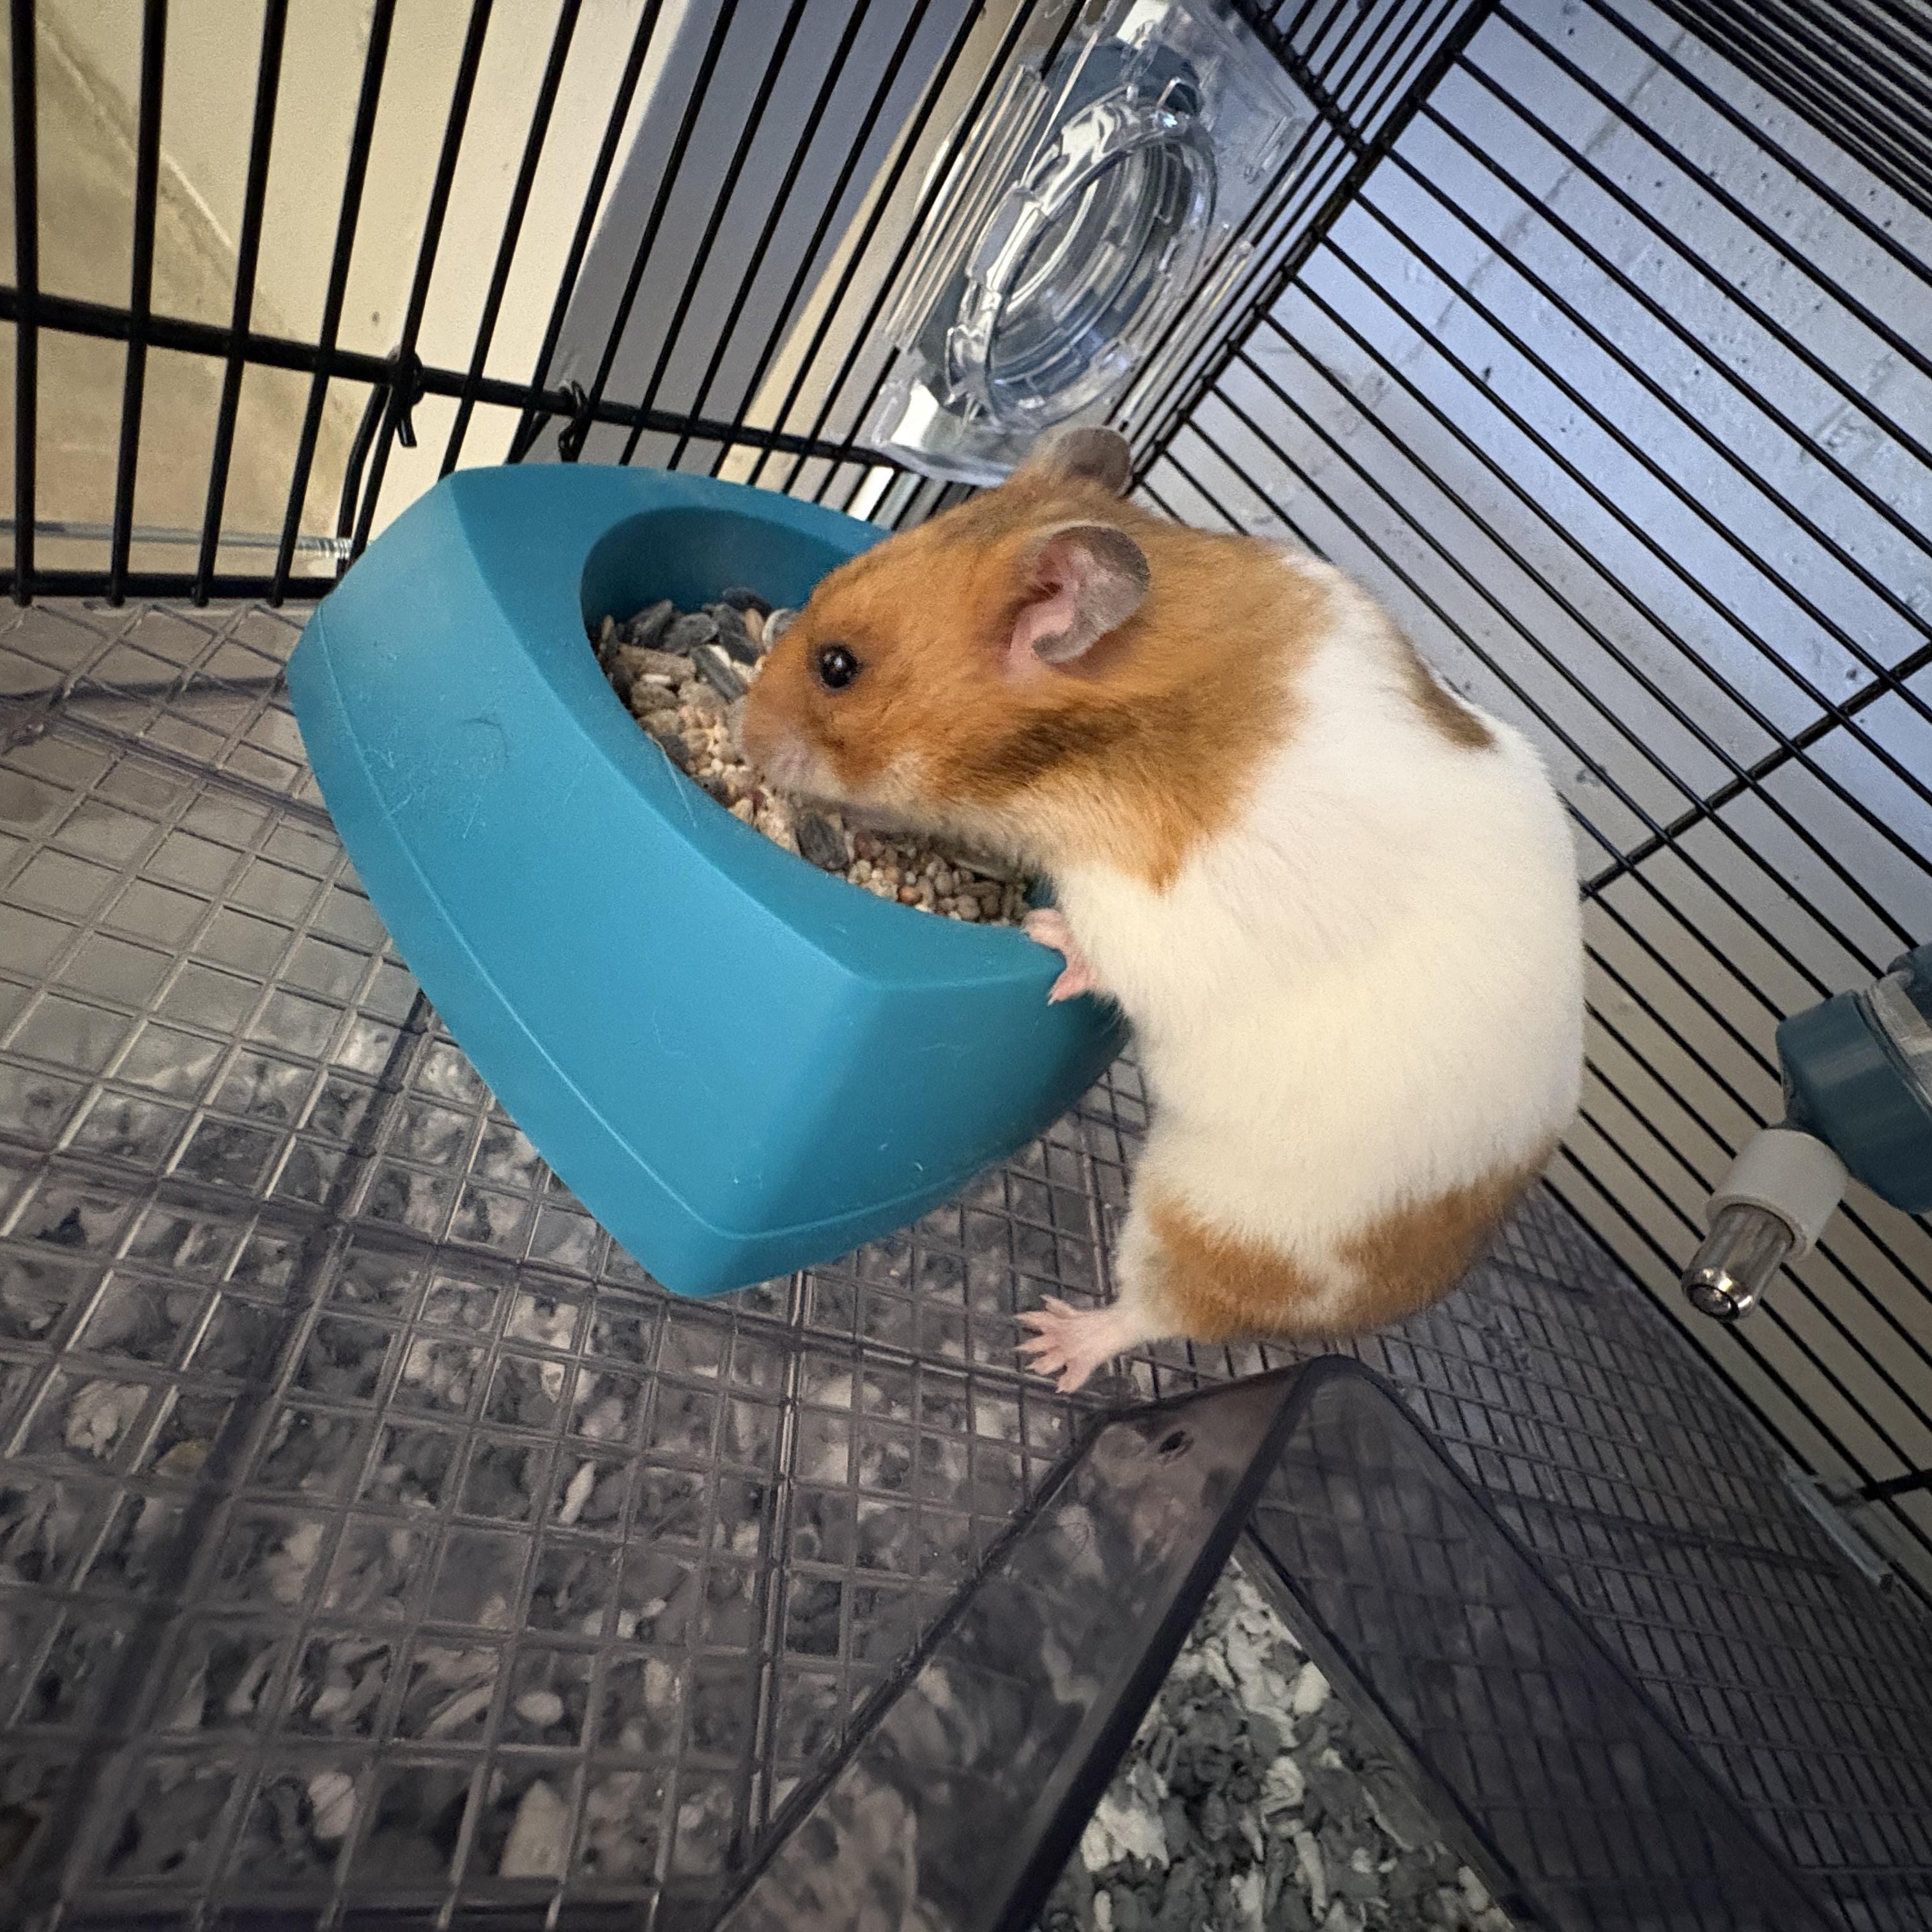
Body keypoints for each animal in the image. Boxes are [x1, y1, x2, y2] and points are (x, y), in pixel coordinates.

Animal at [738, 426, 1585, 1392]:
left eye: (838, 667)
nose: (742, 735)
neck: (1089, 751)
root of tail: (1408, 1302)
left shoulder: (1167, 916)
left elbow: (1108, 954)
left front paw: (1047, 936)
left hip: (1217, 1220)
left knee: (1164, 1312)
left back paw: (1052, 1344)